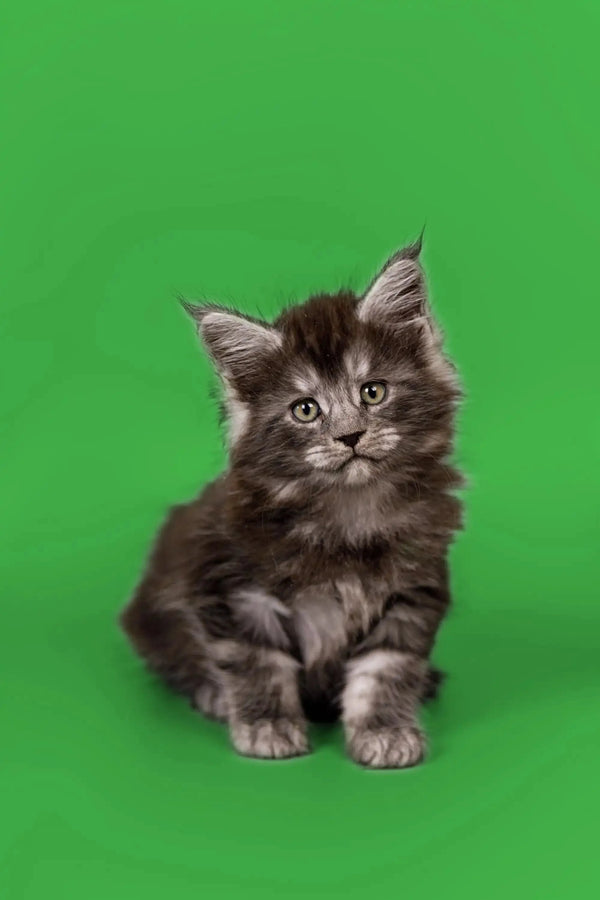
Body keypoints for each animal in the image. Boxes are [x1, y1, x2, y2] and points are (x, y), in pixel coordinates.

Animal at [119, 239, 462, 768]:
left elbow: (386, 667)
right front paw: (267, 726)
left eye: (373, 391)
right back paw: (213, 695)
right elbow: (257, 661)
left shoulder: (413, 590)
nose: (350, 436)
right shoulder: (233, 589)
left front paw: (385, 730)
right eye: (305, 409)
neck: (348, 515)